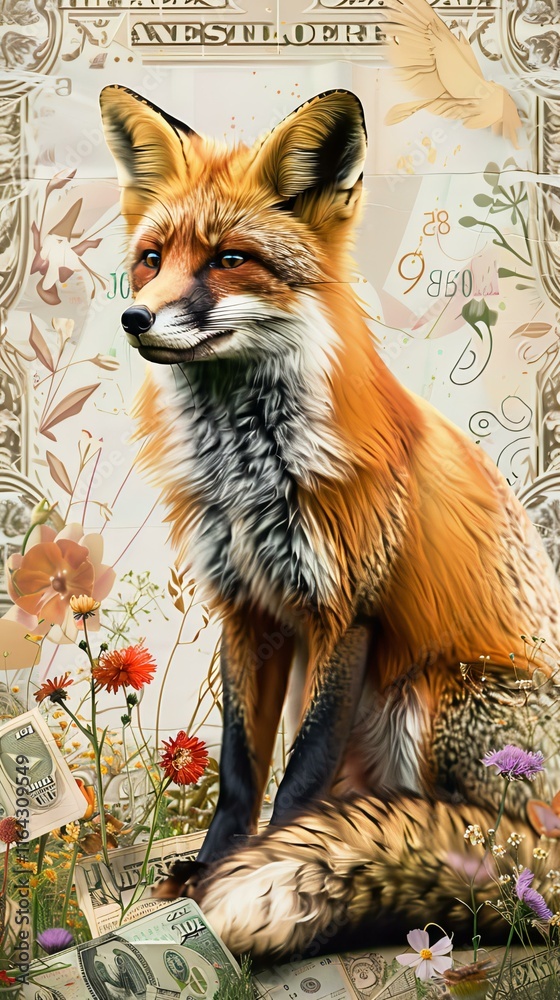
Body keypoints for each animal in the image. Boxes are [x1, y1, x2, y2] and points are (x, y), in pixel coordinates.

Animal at [100, 85, 560, 959]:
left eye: (228, 259)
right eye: (152, 258)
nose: (135, 318)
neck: (248, 477)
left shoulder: (347, 611)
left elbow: (302, 770)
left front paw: (265, 859)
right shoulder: (246, 612)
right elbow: (240, 766)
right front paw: (215, 864)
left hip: (435, 697)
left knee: (509, 846)